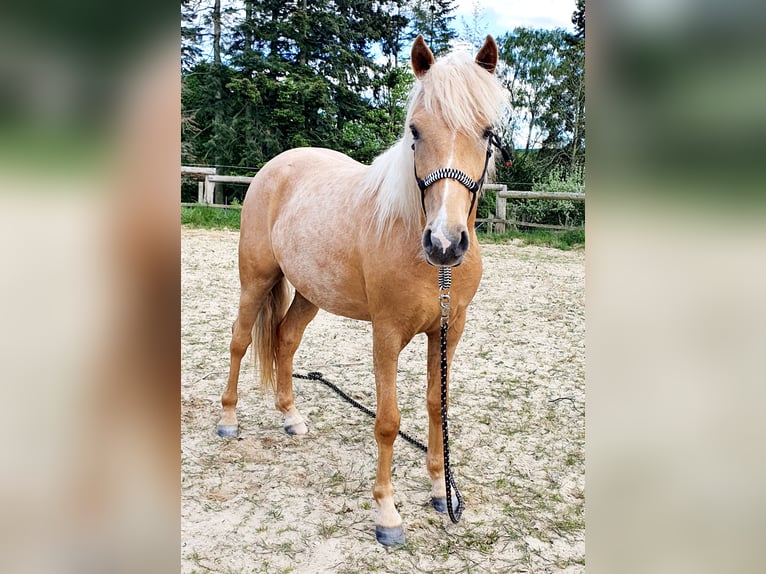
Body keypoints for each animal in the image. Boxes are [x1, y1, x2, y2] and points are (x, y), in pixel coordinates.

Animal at [219, 36, 510, 548]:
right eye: (415, 130)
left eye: (486, 132)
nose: (445, 243)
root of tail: (275, 166)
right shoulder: (387, 333)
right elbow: (389, 422)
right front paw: (387, 515)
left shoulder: (448, 331)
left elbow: (437, 405)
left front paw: (441, 491)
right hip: (255, 279)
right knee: (239, 340)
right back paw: (229, 422)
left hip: (310, 294)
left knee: (284, 341)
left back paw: (291, 418)